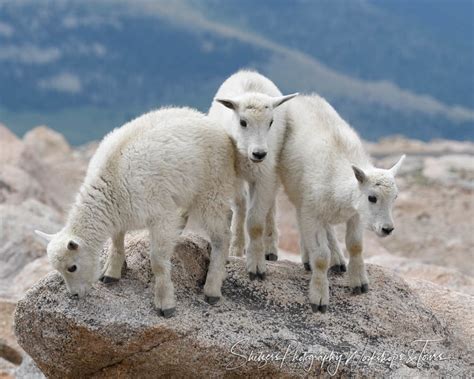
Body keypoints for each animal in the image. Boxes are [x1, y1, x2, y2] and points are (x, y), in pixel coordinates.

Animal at [35, 108, 239, 320]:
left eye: (72, 267)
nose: (75, 295)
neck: (113, 182)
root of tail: (215, 125)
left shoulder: (159, 214)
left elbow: (158, 261)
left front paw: (165, 304)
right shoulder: (120, 213)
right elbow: (116, 241)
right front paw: (111, 273)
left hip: (212, 187)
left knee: (222, 234)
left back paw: (212, 289)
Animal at [280, 95, 406, 314]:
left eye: (395, 197)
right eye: (372, 197)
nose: (387, 229)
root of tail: (304, 96)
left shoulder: (356, 215)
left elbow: (355, 246)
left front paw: (359, 284)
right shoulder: (312, 211)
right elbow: (321, 256)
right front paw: (319, 298)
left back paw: (338, 261)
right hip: (296, 191)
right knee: (300, 218)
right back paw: (309, 258)